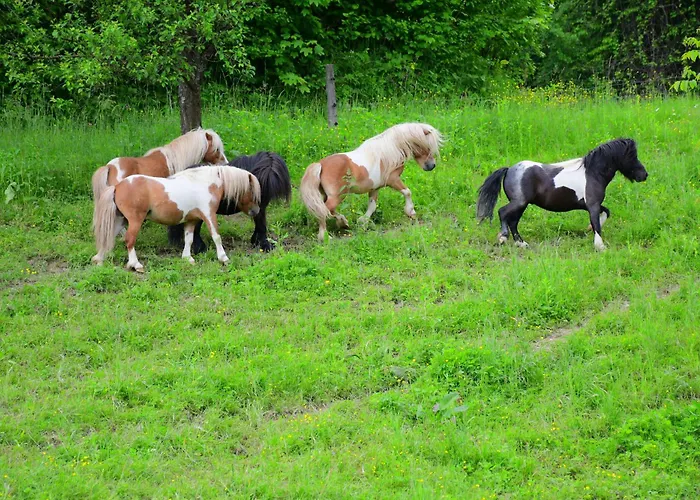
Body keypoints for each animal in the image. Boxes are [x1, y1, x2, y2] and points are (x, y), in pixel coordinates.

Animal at [91, 165, 261, 272]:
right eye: (252, 190)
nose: (256, 211)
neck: (205, 183)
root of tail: (117, 186)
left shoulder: (192, 220)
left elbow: (189, 239)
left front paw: (187, 258)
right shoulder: (209, 215)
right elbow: (216, 236)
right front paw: (223, 258)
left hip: (121, 220)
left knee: (109, 237)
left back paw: (99, 259)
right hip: (134, 221)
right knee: (129, 240)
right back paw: (136, 265)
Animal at [300, 122, 444, 241]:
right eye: (427, 146)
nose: (431, 166)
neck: (390, 151)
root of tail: (320, 164)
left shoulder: (375, 188)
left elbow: (372, 206)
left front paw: (363, 221)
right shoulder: (393, 180)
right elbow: (407, 192)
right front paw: (411, 212)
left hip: (329, 195)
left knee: (328, 210)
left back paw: (343, 223)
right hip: (338, 195)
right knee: (324, 210)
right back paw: (325, 236)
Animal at [476, 138, 648, 251]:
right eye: (632, 156)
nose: (644, 175)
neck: (592, 173)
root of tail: (509, 169)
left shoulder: (591, 205)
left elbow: (605, 213)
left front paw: (588, 230)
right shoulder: (592, 205)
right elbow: (597, 225)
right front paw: (600, 246)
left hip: (522, 205)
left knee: (513, 222)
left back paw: (521, 244)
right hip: (519, 202)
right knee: (503, 213)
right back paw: (503, 238)